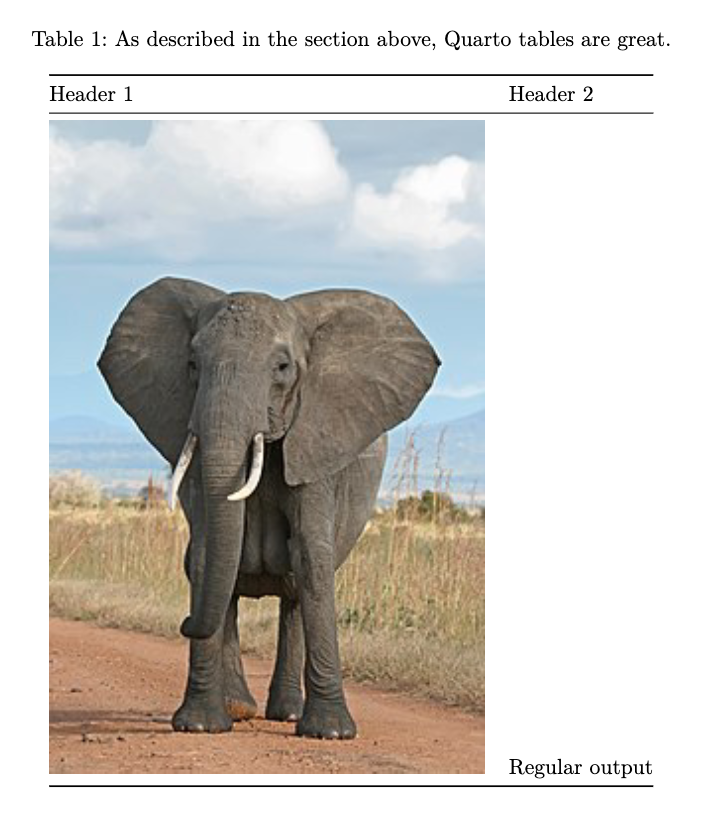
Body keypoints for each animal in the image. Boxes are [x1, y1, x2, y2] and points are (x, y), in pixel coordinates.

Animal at [98, 277, 440, 739]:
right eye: (192, 365)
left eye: (282, 368)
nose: (184, 623)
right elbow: (205, 554)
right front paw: (200, 726)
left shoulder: (317, 442)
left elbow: (311, 557)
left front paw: (331, 734)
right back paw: (239, 708)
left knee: (296, 589)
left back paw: (288, 715)